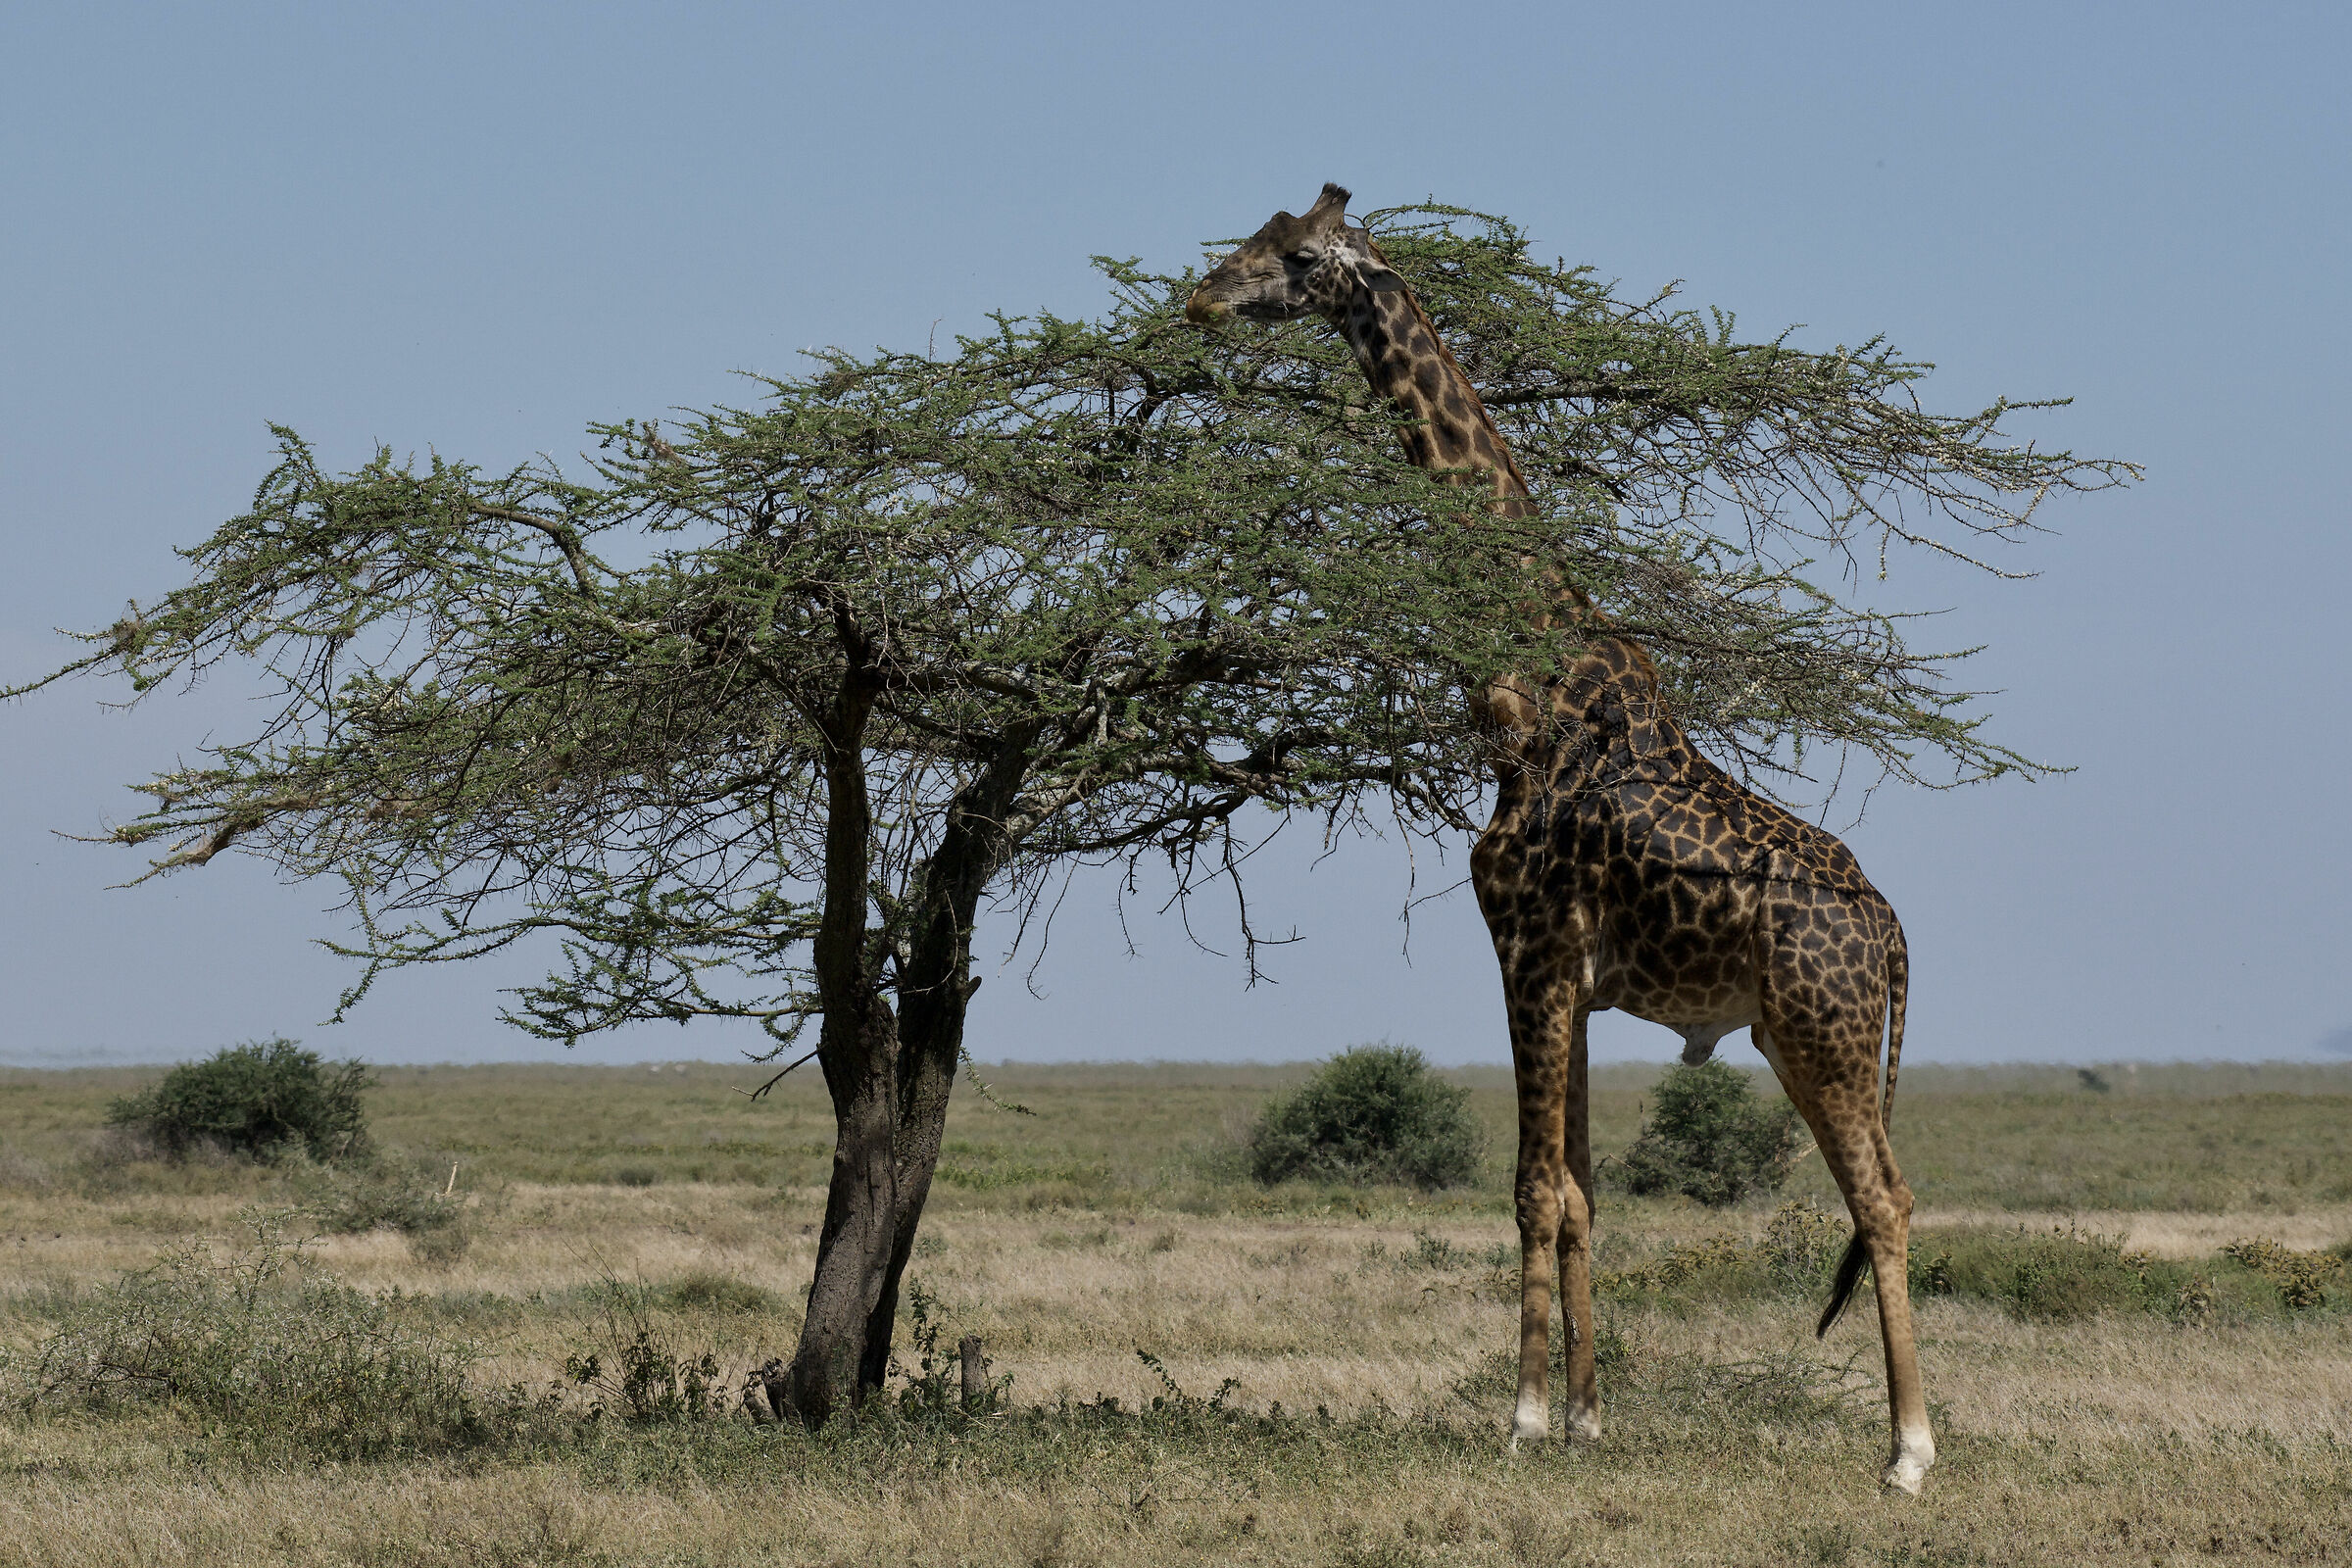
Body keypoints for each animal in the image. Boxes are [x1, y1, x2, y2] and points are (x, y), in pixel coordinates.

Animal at [1186, 185, 1935, 1493]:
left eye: (1289, 257)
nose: (1197, 298)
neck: (1516, 688)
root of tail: (1888, 928)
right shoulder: (1576, 980)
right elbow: (1584, 1193)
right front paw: (1591, 1419)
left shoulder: (1524, 949)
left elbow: (1534, 1188)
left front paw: (1525, 1420)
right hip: (1806, 1036)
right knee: (1877, 1198)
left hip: (1822, 1031)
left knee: (1884, 1201)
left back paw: (1909, 1454)